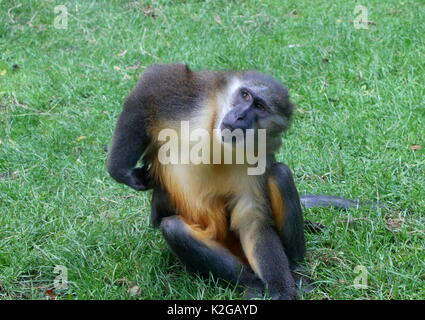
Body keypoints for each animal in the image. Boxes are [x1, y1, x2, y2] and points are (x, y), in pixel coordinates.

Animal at [107, 63, 362, 300]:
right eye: (245, 95)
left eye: (259, 107)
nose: (240, 115)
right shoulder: (185, 97)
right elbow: (149, 88)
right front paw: (120, 170)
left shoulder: (259, 155)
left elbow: (252, 218)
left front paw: (282, 290)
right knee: (174, 228)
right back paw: (252, 284)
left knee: (280, 174)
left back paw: (295, 269)